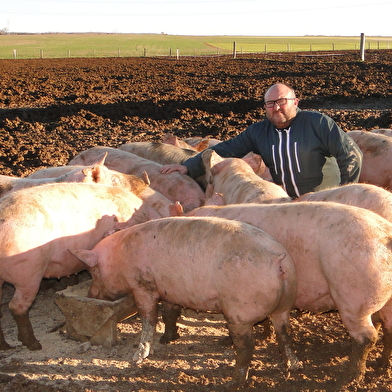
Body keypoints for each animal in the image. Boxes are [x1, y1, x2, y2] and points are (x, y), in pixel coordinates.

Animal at [69, 216, 300, 388]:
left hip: (239, 312)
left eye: (92, 271)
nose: (92, 294)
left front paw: (138, 356)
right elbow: (170, 314)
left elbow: (149, 319)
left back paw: (234, 382)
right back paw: (292, 367)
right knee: (285, 334)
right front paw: (167, 339)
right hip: (284, 305)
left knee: (246, 347)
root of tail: (278, 260)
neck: (119, 257)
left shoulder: (143, 286)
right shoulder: (170, 290)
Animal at [184, 201, 392, 384]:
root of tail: (387, 234)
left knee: (366, 337)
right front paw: (265, 336)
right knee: (388, 327)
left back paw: (348, 379)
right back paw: (381, 364)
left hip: (353, 297)